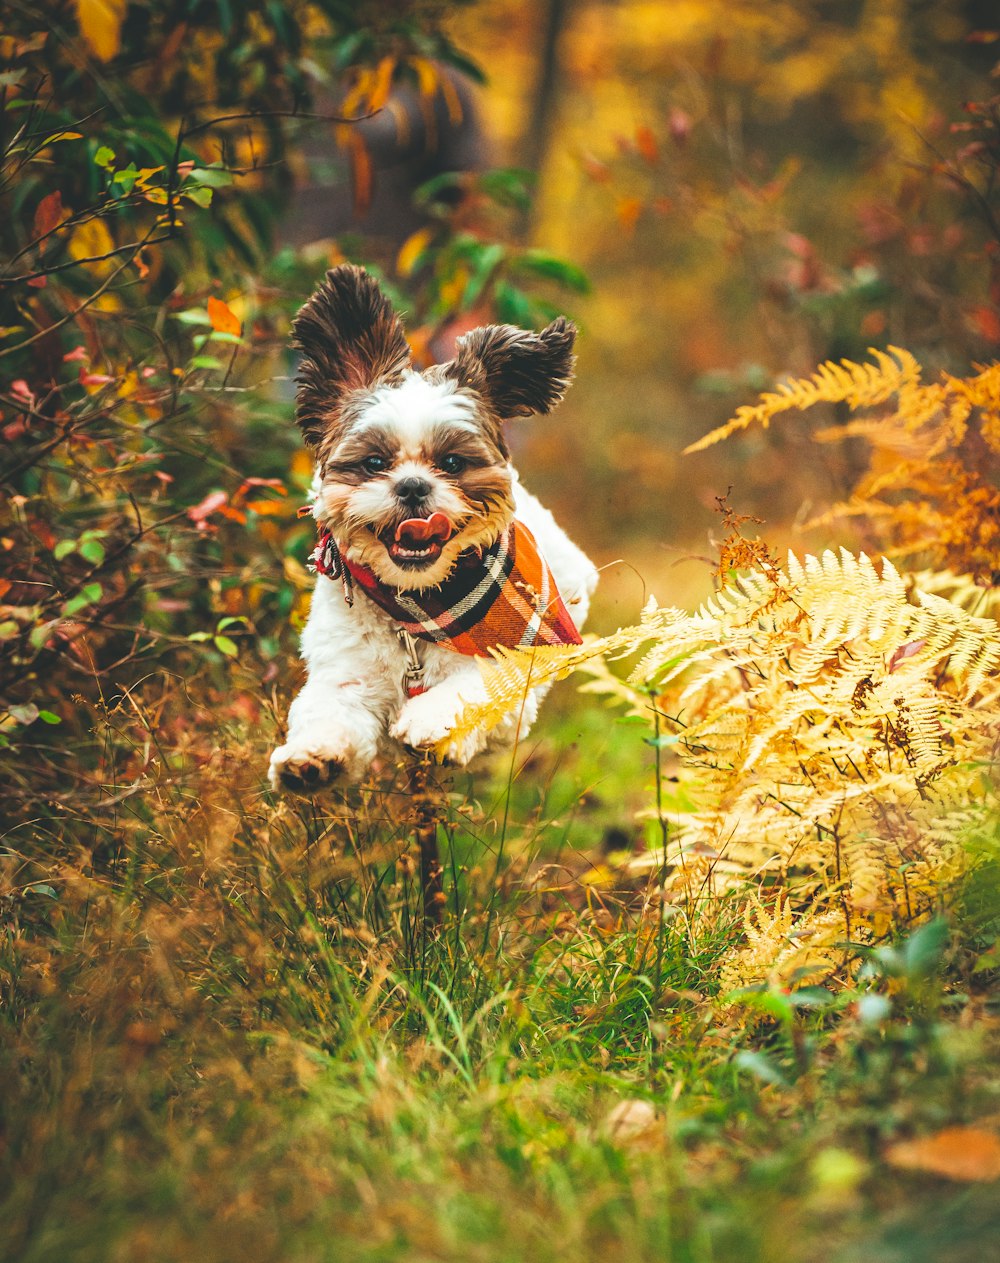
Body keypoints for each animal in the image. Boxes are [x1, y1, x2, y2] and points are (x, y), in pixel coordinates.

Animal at [267, 266, 593, 793]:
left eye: (453, 463)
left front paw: (429, 721)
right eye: (375, 463)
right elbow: (329, 710)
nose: (413, 486)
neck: (420, 608)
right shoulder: (347, 672)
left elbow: (484, 677)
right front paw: (311, 759)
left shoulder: (526, 655)